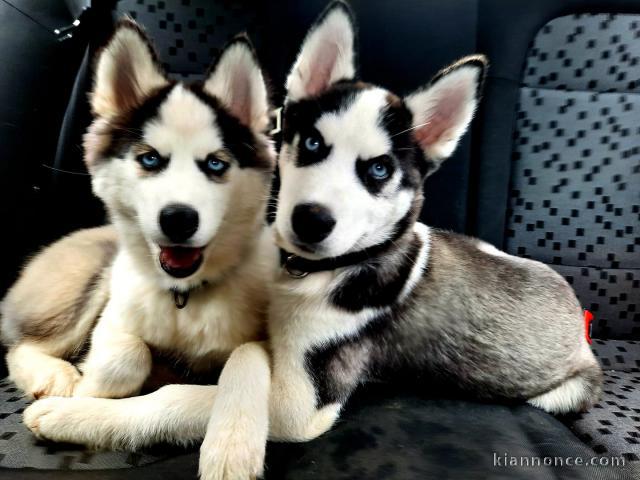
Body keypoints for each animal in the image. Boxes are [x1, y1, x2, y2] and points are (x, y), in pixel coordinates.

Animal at [0, 18, 276, 402]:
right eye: (149, 159)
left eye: (216, 164)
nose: (178, 220)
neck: (182, 296)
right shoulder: (111, 319)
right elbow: (129, 354)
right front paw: (89, 389)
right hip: (85, 286)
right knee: (23, 345)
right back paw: (54, 376)